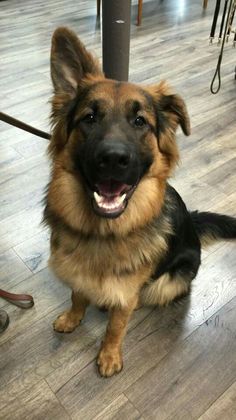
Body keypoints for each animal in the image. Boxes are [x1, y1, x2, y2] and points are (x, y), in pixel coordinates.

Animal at [43, 28, 236, 378]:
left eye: (139, 122)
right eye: (89, 118)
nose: (113, 159)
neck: (102, 232)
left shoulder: (128, 292)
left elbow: (117, 324)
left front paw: (109, 355)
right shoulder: (77, 271)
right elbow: (77, 295)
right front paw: (73, 318)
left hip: (168, 281)